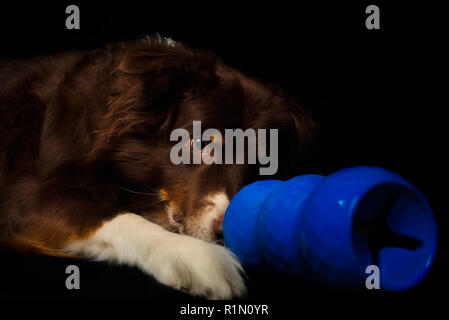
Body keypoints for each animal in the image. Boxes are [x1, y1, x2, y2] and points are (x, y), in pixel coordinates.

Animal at [0, 36, 316, 298]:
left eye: (262, 162)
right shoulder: (22, 197)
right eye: (202, 143)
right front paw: (193, 255)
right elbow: (113, 215)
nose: (223, 234)